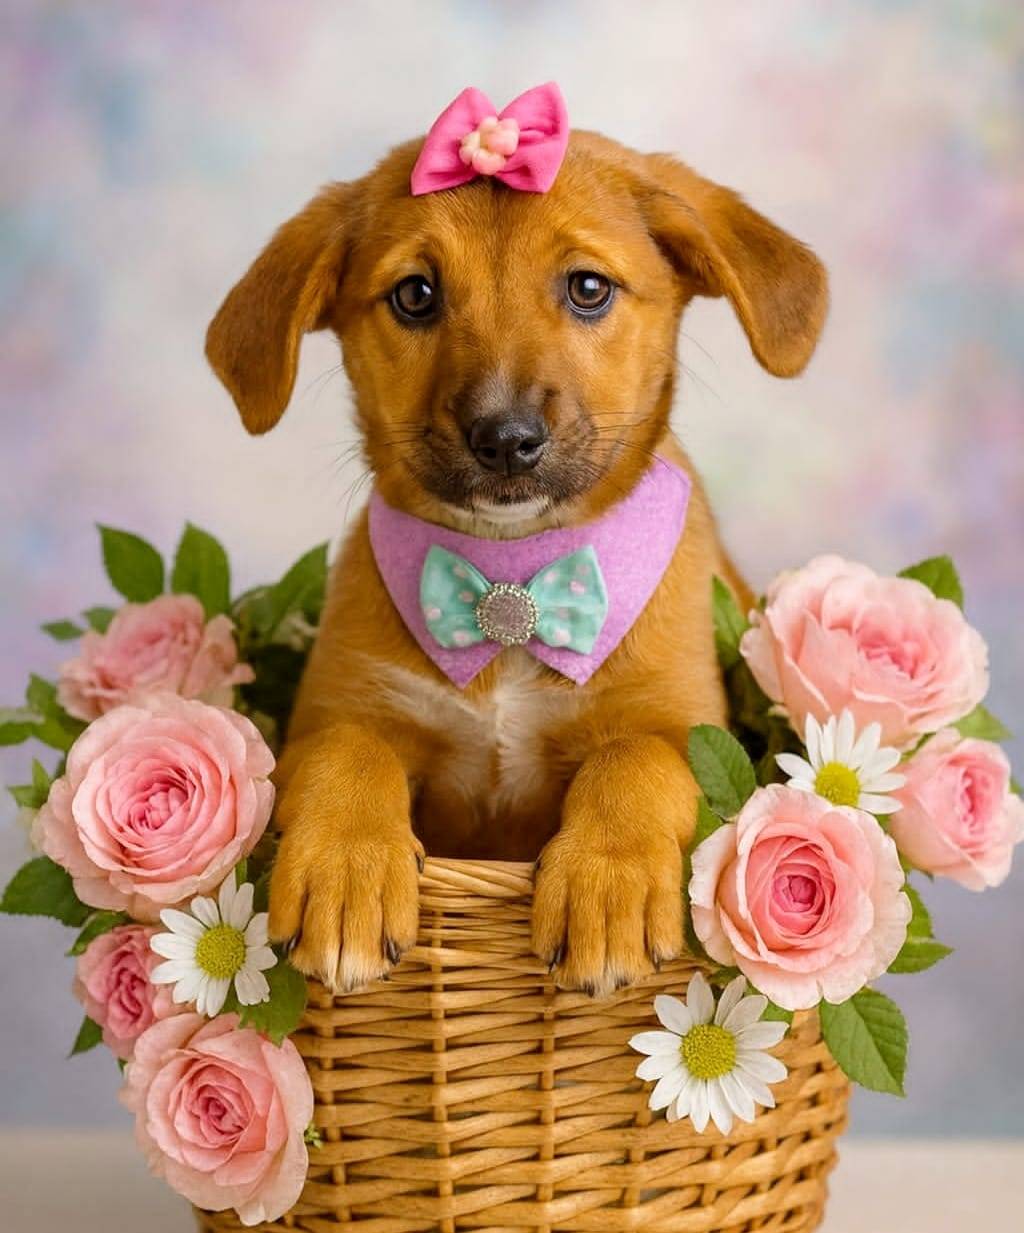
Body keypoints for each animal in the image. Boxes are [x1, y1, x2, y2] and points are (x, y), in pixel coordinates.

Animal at [205, 91, 827, 998]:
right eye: (416, 294)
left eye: (589, 288)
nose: (505, 439)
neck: (511, 580)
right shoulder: (330, 716)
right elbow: (345, 754)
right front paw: (346, 869)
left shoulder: (684, 722)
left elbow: (637, 761)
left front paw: (606, 881)